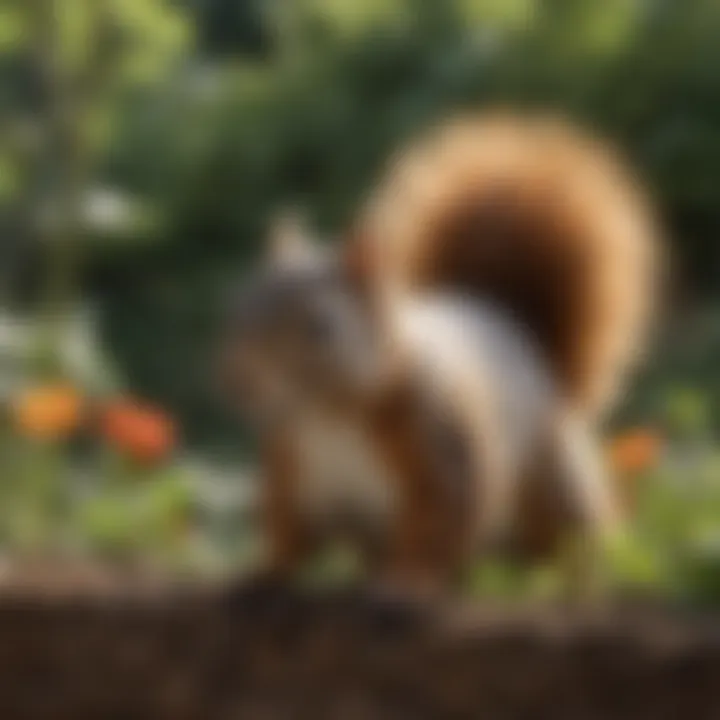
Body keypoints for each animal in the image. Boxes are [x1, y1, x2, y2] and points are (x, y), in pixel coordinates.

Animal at [218, 111, 660, 596]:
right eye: (239, 309)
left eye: (319, 328)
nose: (239, 381)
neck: (329, 416)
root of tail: (512, 329)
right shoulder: (292, 472)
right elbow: (288, 535)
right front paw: (260, 572)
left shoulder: (439, 451)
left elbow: (435, 529)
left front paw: (406, 582)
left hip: (554, 489)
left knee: (567, 547)